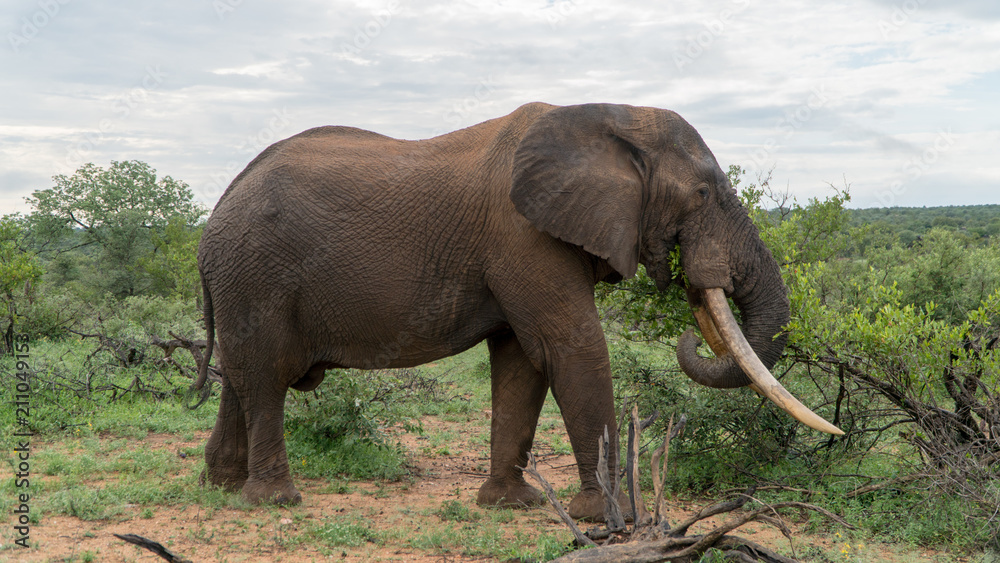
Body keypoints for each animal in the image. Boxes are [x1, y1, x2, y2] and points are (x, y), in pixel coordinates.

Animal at [191, 102, 840, 524]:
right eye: (704, 194)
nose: (695, 326)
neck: (613, 117)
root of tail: (216, 209)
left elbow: (521, 364)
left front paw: (509, 505)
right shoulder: (524, 235)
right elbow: (573, 347)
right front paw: (611, 518)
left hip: (242, 283)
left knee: (242, 379)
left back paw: (221, 486)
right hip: (257, 274)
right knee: (266, 379)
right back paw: (276, 501)